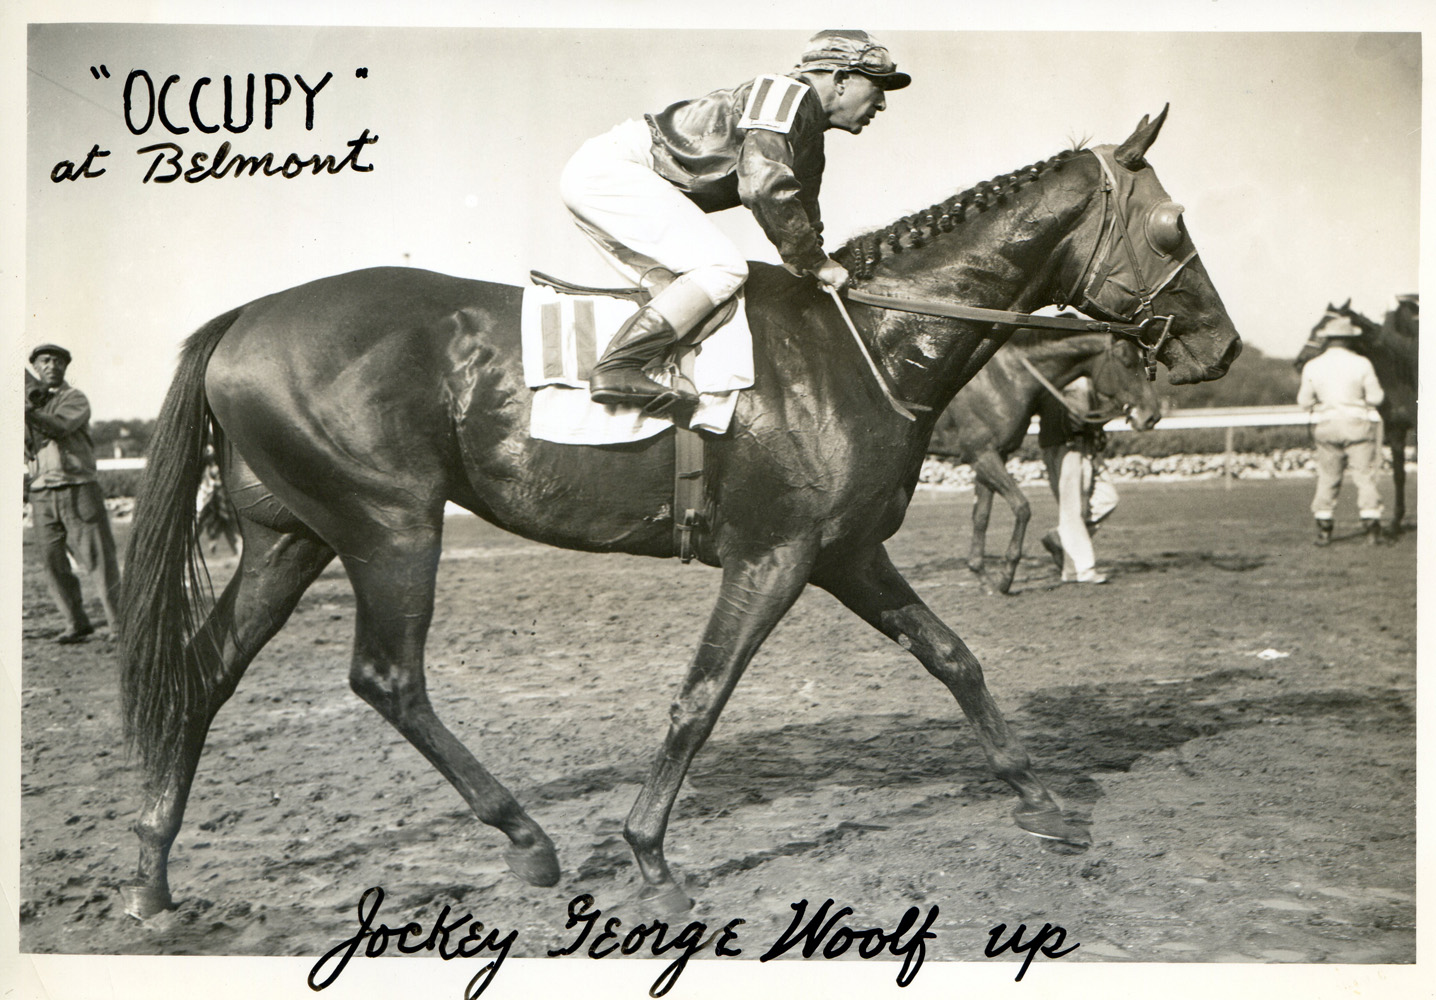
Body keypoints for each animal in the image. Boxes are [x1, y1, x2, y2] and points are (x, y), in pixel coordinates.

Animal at [924, 333, 1160, 594]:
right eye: (1127, 362)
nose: (1151, 416)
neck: (1005, 377)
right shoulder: (983, 454)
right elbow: (1022, 507)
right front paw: (1005, 577)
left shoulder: (991, 456)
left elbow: (981, 516)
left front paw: (984, 579)